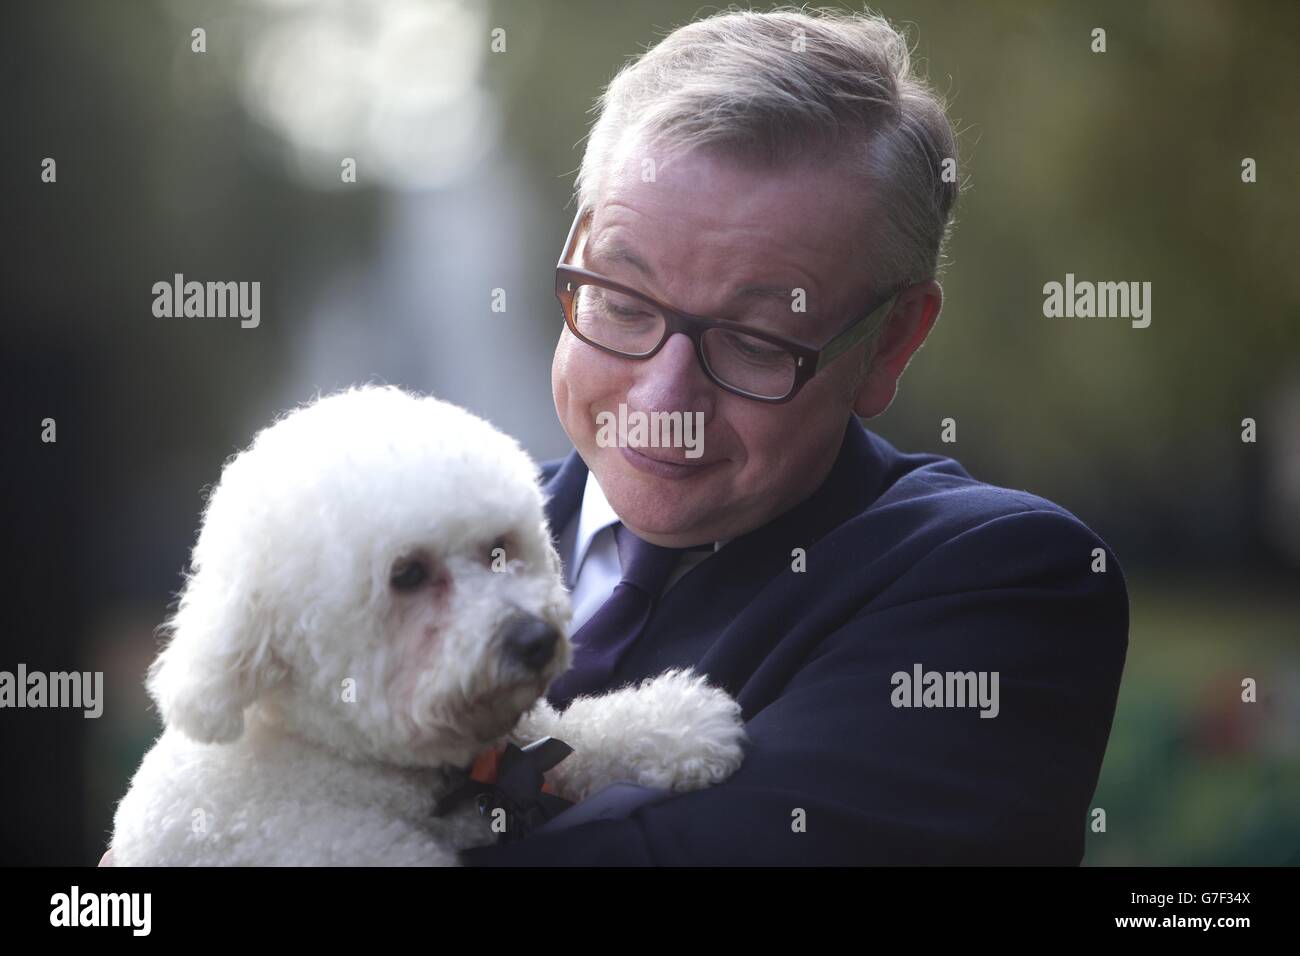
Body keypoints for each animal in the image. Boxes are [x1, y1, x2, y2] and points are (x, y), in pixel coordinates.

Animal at [114, 385, 743, 863]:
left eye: (498, 550)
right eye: (408, 574)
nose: (536, 641)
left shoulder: (519, 740)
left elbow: (578, 731)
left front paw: (682, 726)